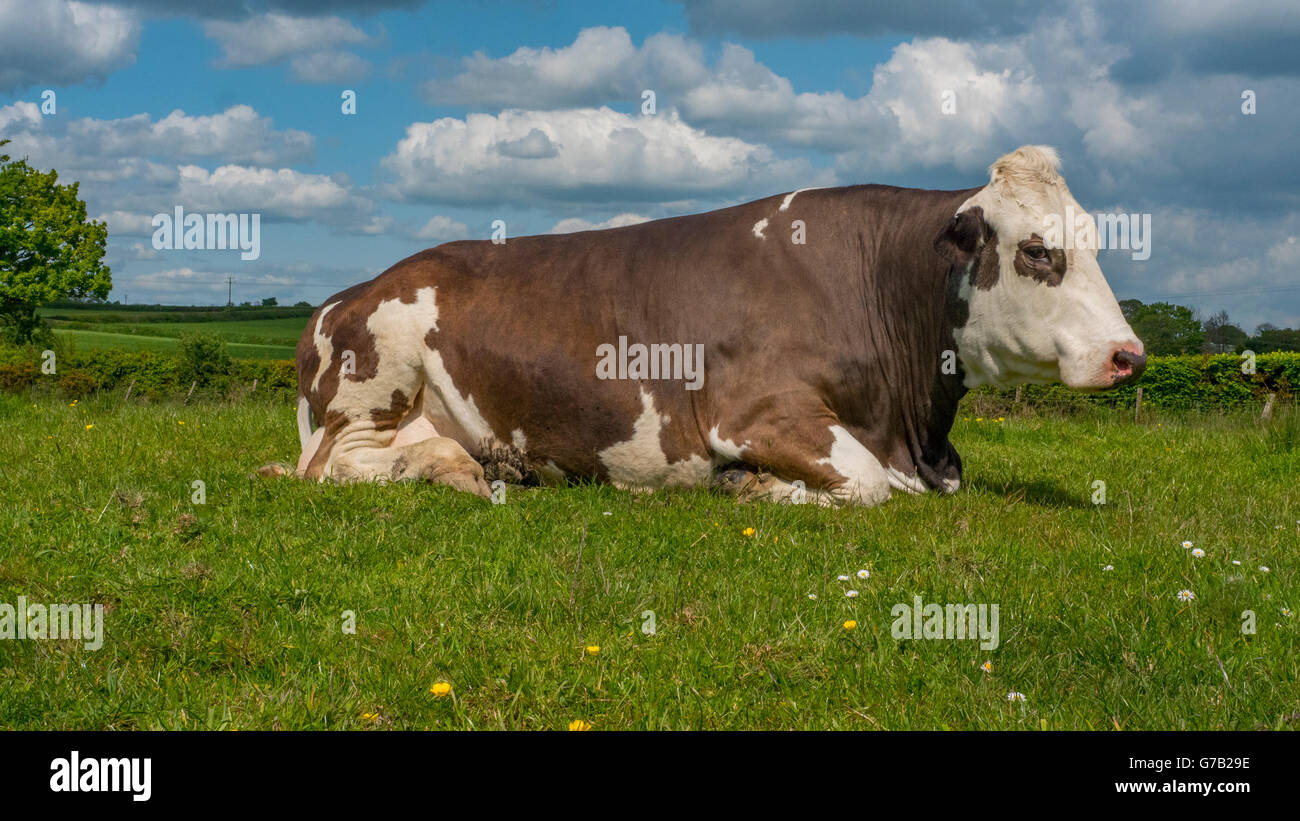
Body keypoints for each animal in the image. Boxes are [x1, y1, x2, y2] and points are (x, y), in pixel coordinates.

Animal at [286, 145, 1145, 506]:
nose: (1129, 353)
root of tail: (344, 294)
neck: (912, 425)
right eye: (1037, 249)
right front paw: (755, 485)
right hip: (377, 374)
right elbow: (867, 485)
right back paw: (447, 469)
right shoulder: (756, 411)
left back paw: (479, 465)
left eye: (1098, 240)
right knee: (335, 466)